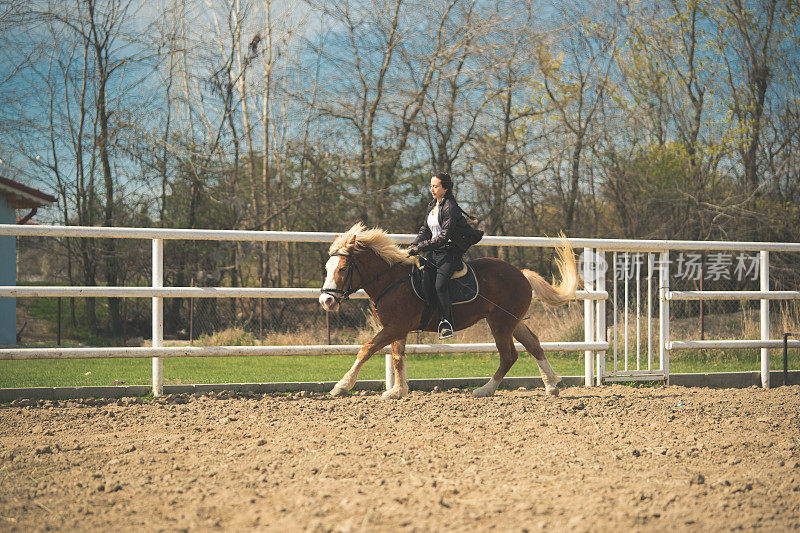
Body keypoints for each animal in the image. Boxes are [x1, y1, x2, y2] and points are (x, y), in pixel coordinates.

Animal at [318, 221, 576, 400]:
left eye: (342, 269)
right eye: (328, 268)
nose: (326, 301)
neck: (392, 280)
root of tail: (520, 273)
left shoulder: (395, 327)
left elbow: (366, 350)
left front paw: (342, 386)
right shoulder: (396, 329)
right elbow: (398, 357)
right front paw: (398, 391)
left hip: (500, 323)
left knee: (508, 356)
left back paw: (484, 390)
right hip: (512, 321)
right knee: (533, 344)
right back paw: (551, 385)